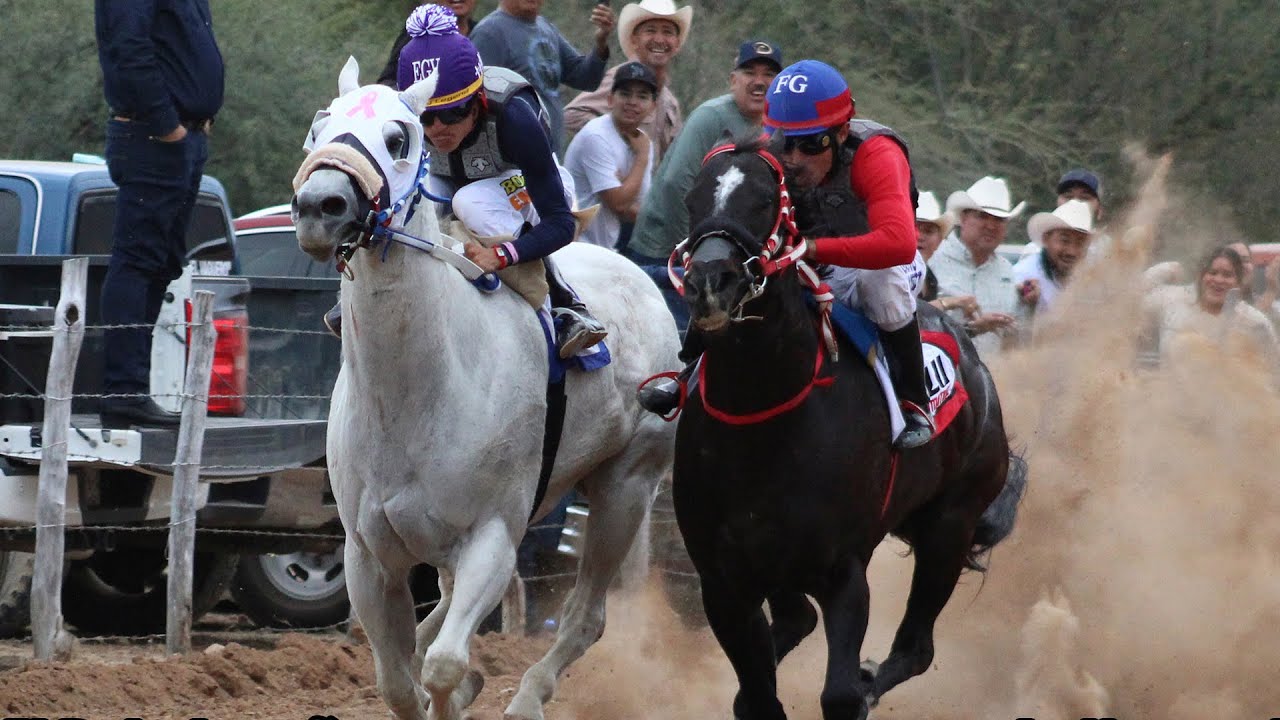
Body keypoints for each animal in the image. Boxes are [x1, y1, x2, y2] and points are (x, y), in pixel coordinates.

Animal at [290, 58, 679, 720]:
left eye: (399, 138)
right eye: (318, 130)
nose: (321, 204)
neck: (416, 394)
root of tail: (641, 277)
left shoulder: (494, 533)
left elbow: (445, 665)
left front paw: (457, 688)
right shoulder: (368, 554)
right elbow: (396, 679)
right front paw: (427, 683)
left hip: (626, 486)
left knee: (586, 617)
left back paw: (527, 697)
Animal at [671, 138, 1026, 720]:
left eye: (765, 200)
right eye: (692, 199)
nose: (708, 283)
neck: (764, 418)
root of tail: (973, 351)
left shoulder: (843, 572)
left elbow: (838, 693)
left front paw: (855, 688)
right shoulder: (724, 581)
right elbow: (758, 695)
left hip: (950, 525)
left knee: (916, 649)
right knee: (795, 622)